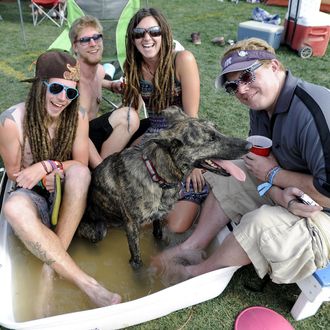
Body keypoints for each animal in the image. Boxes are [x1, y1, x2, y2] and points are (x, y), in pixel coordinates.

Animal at [78, 107, 251, 270]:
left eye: (217, 128)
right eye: (211, 139)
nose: (250, 145)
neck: (156, 175)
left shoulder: (158, 217)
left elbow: (159, 236)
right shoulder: (132, 226)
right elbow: (137, 261)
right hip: (99, 231)